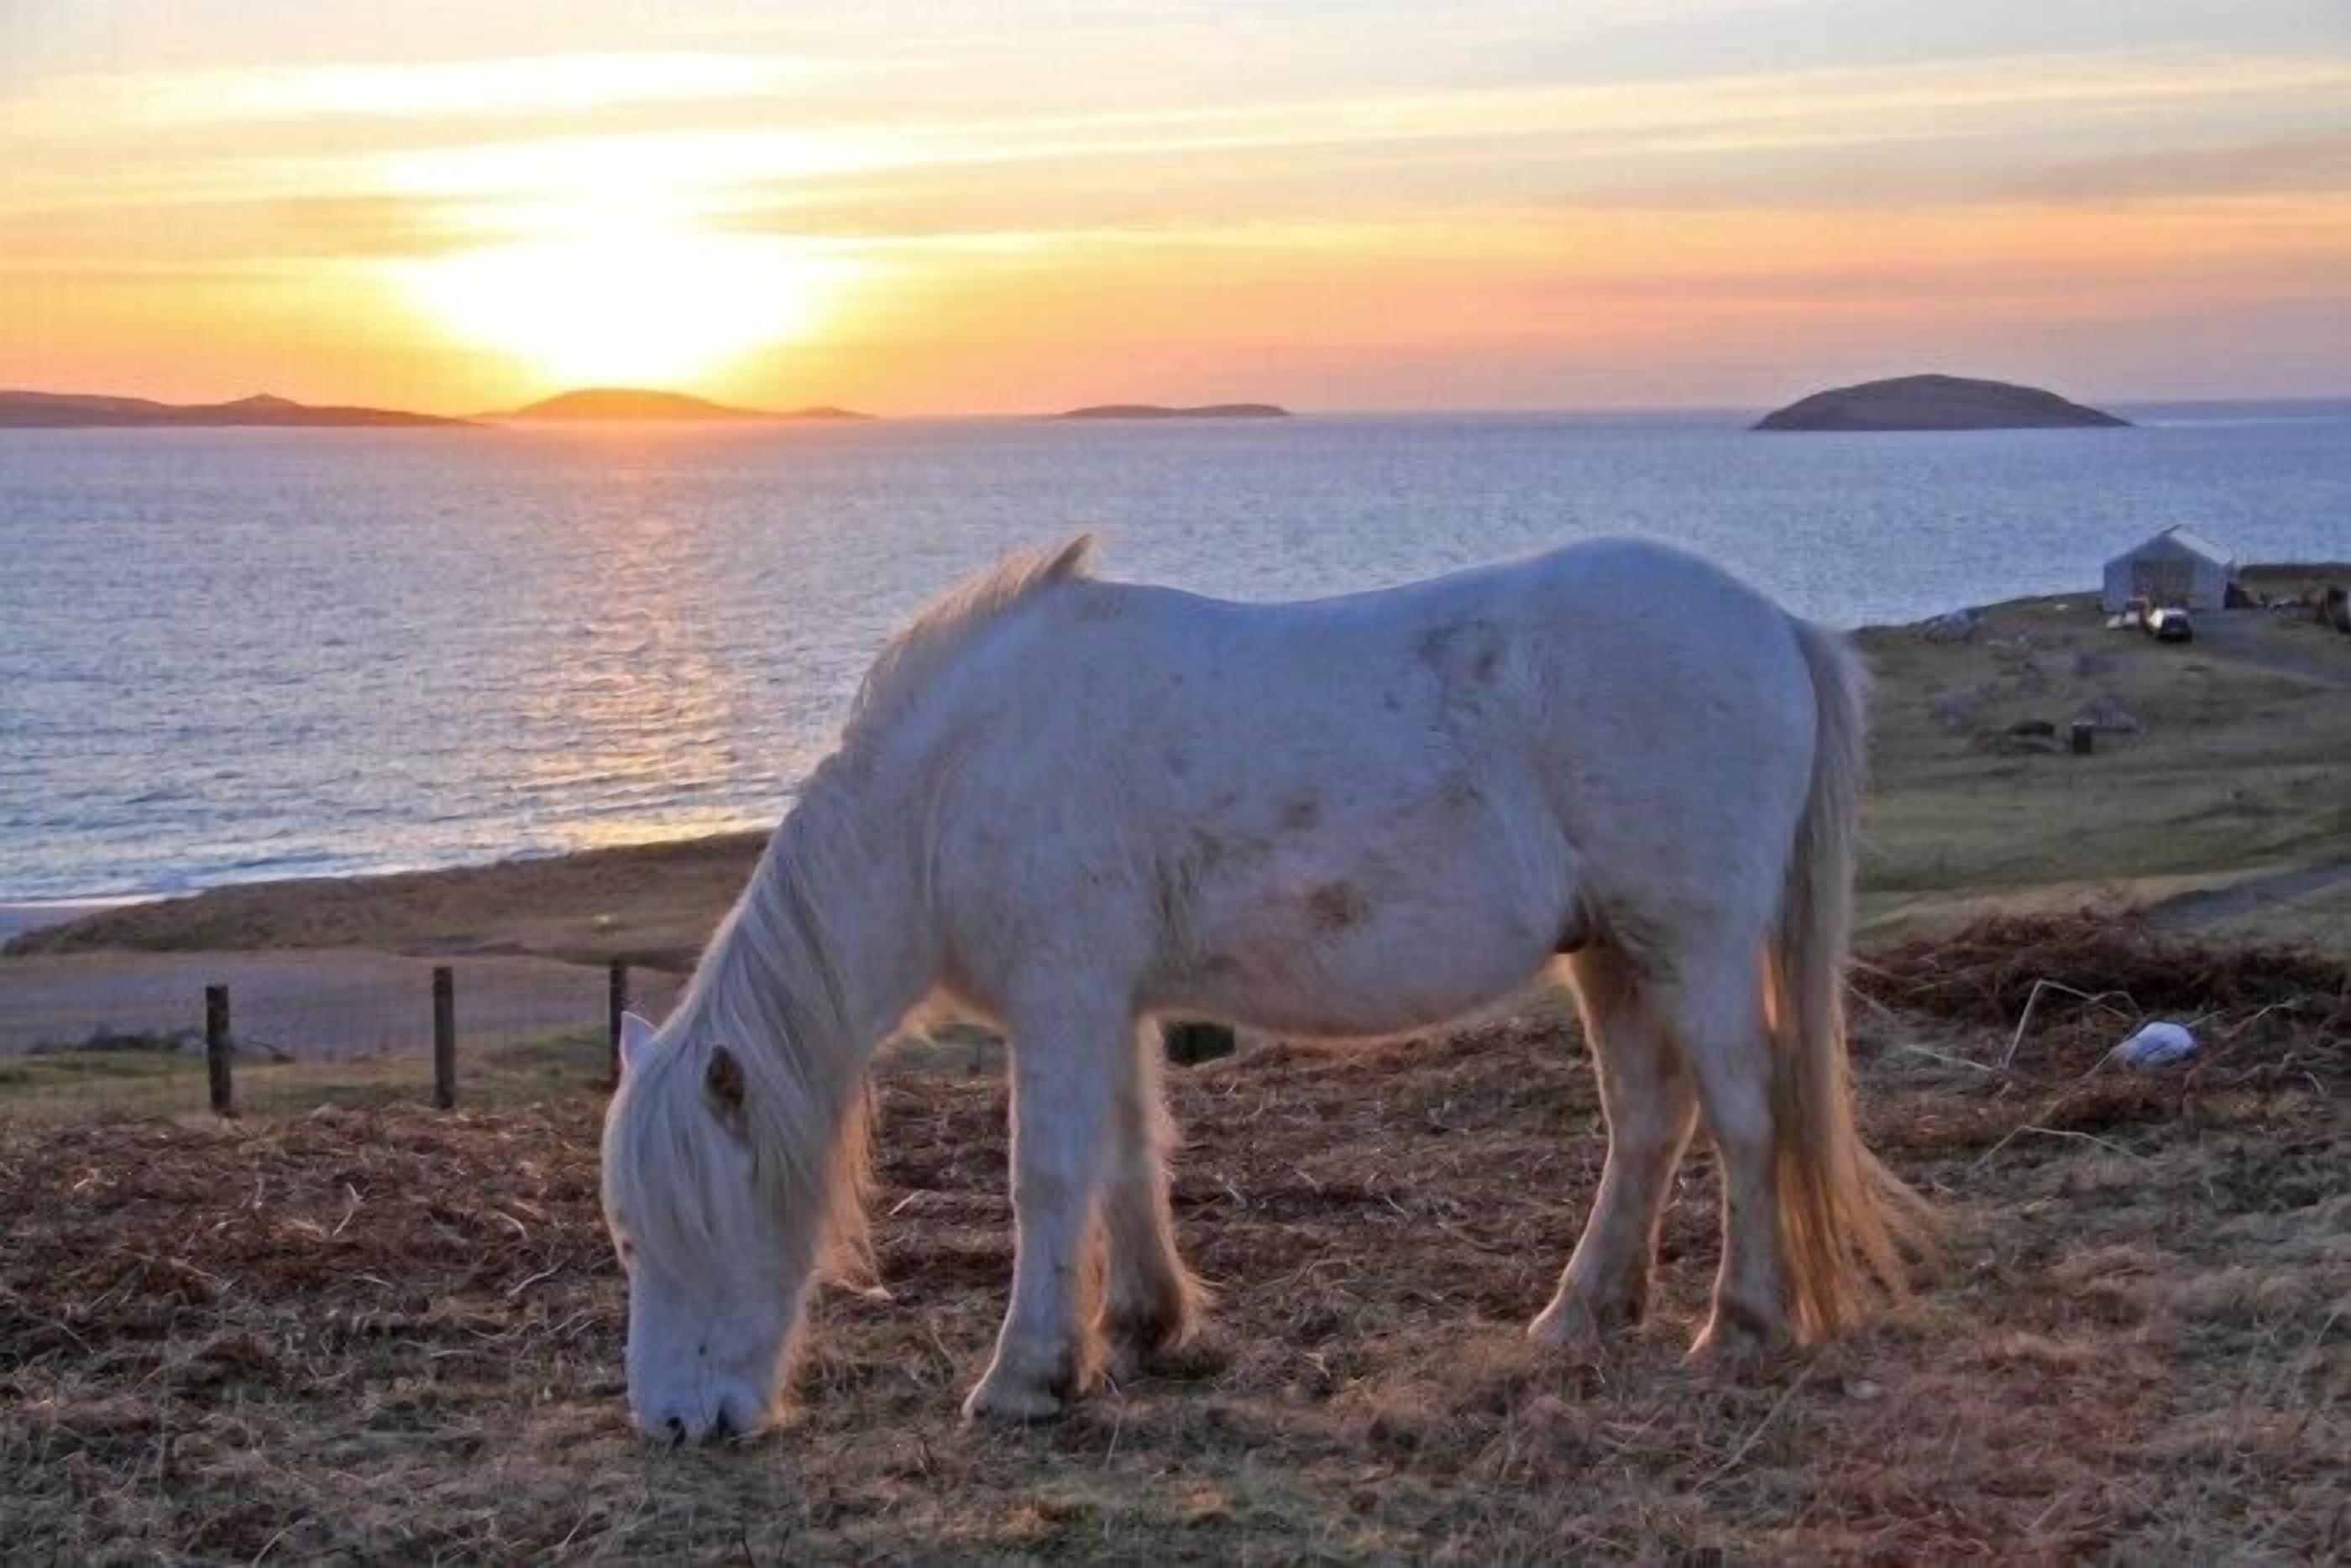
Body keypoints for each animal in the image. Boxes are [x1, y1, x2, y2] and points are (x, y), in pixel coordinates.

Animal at [600, 535, 1931, 1441]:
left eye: (670, 1226)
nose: (674, 1424)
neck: (945, 792)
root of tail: (1776, 624)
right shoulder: (1114, 1005)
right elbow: (1131, 1161)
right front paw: (1141, 1329)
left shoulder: (1062, 999)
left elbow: (1049, 1180)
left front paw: (1022, 1376)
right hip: (1611, 951)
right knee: (1648, 1122)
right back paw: (1583, 1314)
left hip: (1694, 946)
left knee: (1745, 1117)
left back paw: (1740, 1324)